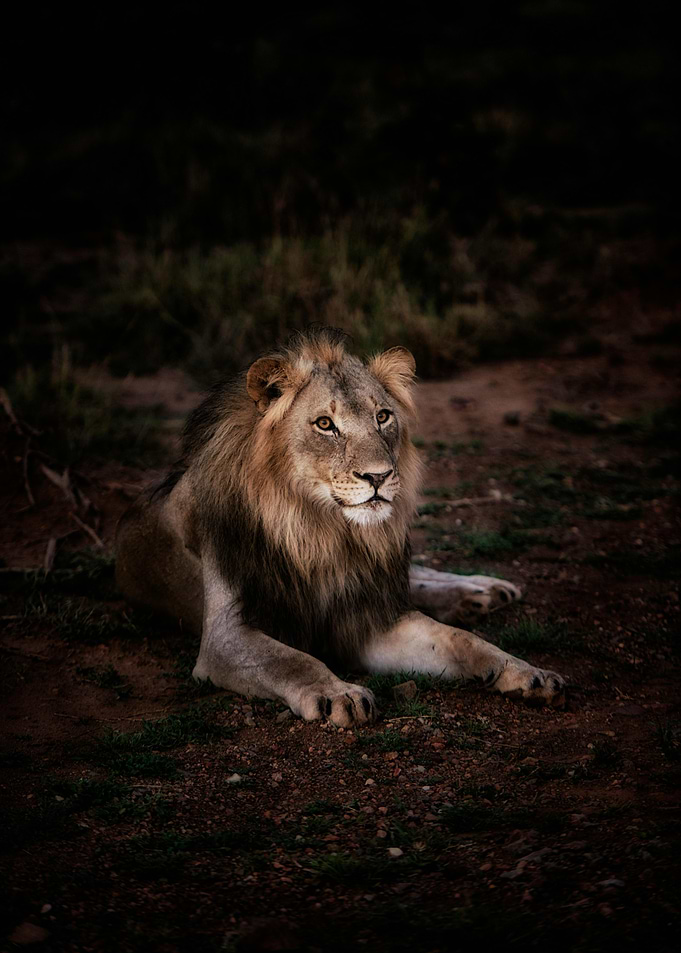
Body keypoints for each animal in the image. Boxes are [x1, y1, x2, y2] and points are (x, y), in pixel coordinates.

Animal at [115, 329, 565, 726]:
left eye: (382, 416)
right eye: (325, 424)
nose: (379, 476)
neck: (323, 533)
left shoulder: (367, 616)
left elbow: (461, 640)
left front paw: (525, 671)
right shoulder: (226, 639)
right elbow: (295, 660)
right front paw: (341, 694)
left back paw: (483, 589)